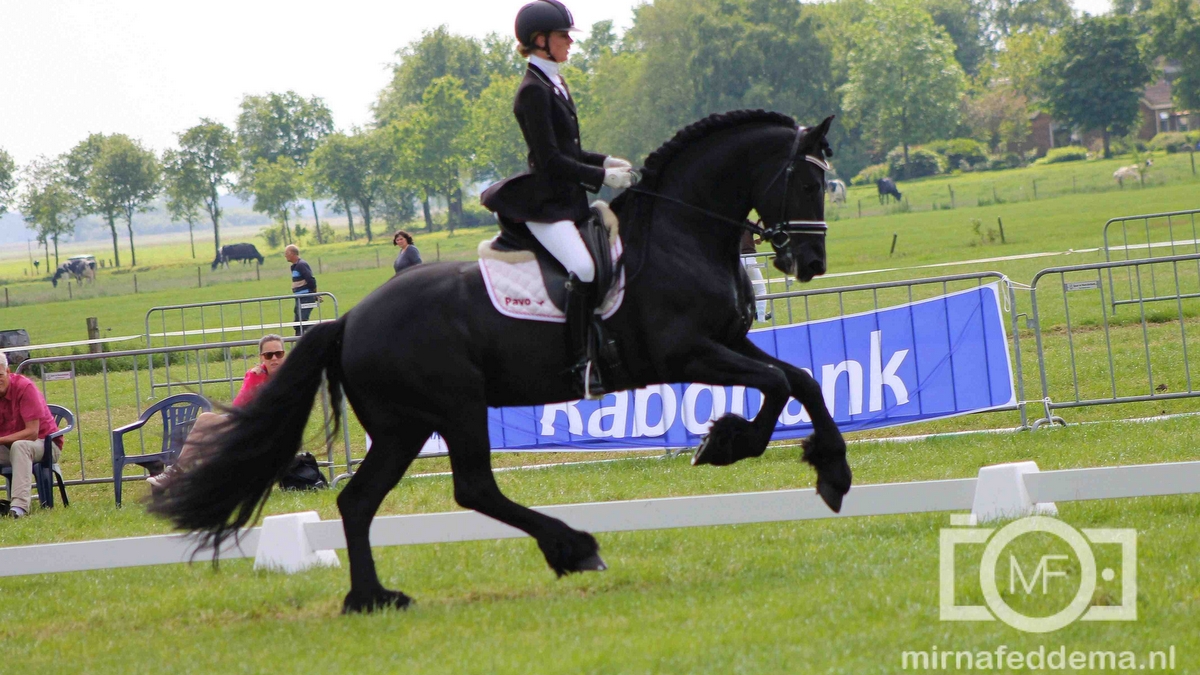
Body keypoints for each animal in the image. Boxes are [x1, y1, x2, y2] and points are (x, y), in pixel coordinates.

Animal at [152, 111, 854, 614]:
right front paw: (739, 446)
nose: (809, 264)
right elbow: (777, 383)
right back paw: (573, 548)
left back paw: (372, 598)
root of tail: (349, 319)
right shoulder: (690, 352)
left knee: (358, 500)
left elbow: (801, 380)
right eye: (807, 181)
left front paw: (823, 470)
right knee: (471, 487)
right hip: (456, 406)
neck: (679, 235)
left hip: (405, 426)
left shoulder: (727, 341)